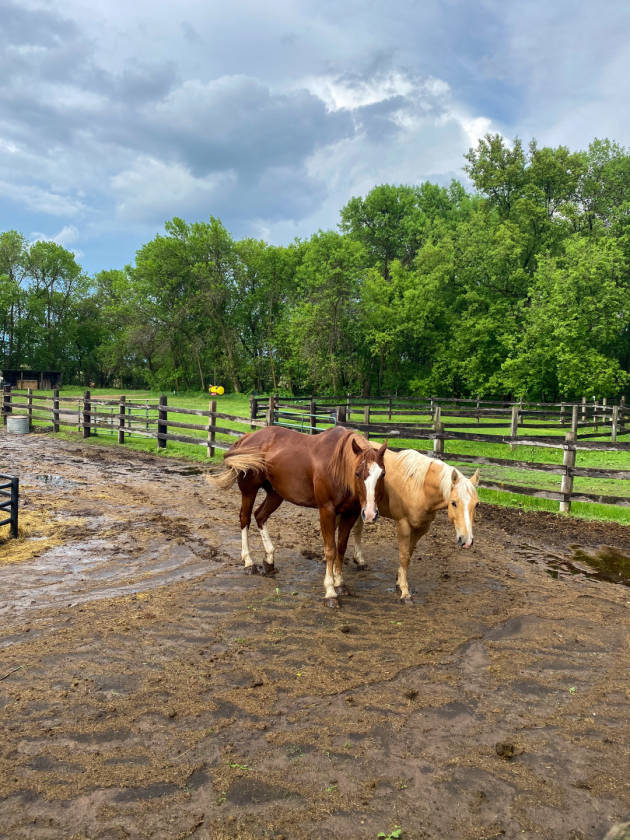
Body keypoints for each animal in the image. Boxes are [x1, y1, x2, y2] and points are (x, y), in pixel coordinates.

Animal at [211, 425, 387, 608]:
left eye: (382, 474)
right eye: (358, 473)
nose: (370, 513)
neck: (339, 466)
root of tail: (247, 438)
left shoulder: (350, 513)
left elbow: (341, 548)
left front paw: (340, 584)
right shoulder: (327, 511)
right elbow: (330, 550)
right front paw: (330, 591)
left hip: (275, 494)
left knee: (260, 516)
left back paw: (269, 560)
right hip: (249, 490)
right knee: (245, 518)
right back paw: (248, 562)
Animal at [351, 448, 480, 603]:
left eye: (477, 504)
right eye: (454, 503)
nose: (467, 541)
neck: (420, 487)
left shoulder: (421, 528)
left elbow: (409, 554)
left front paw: (399, 580)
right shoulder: (403, 525)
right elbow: (404, 556)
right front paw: (405, 592)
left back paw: (359, 561)